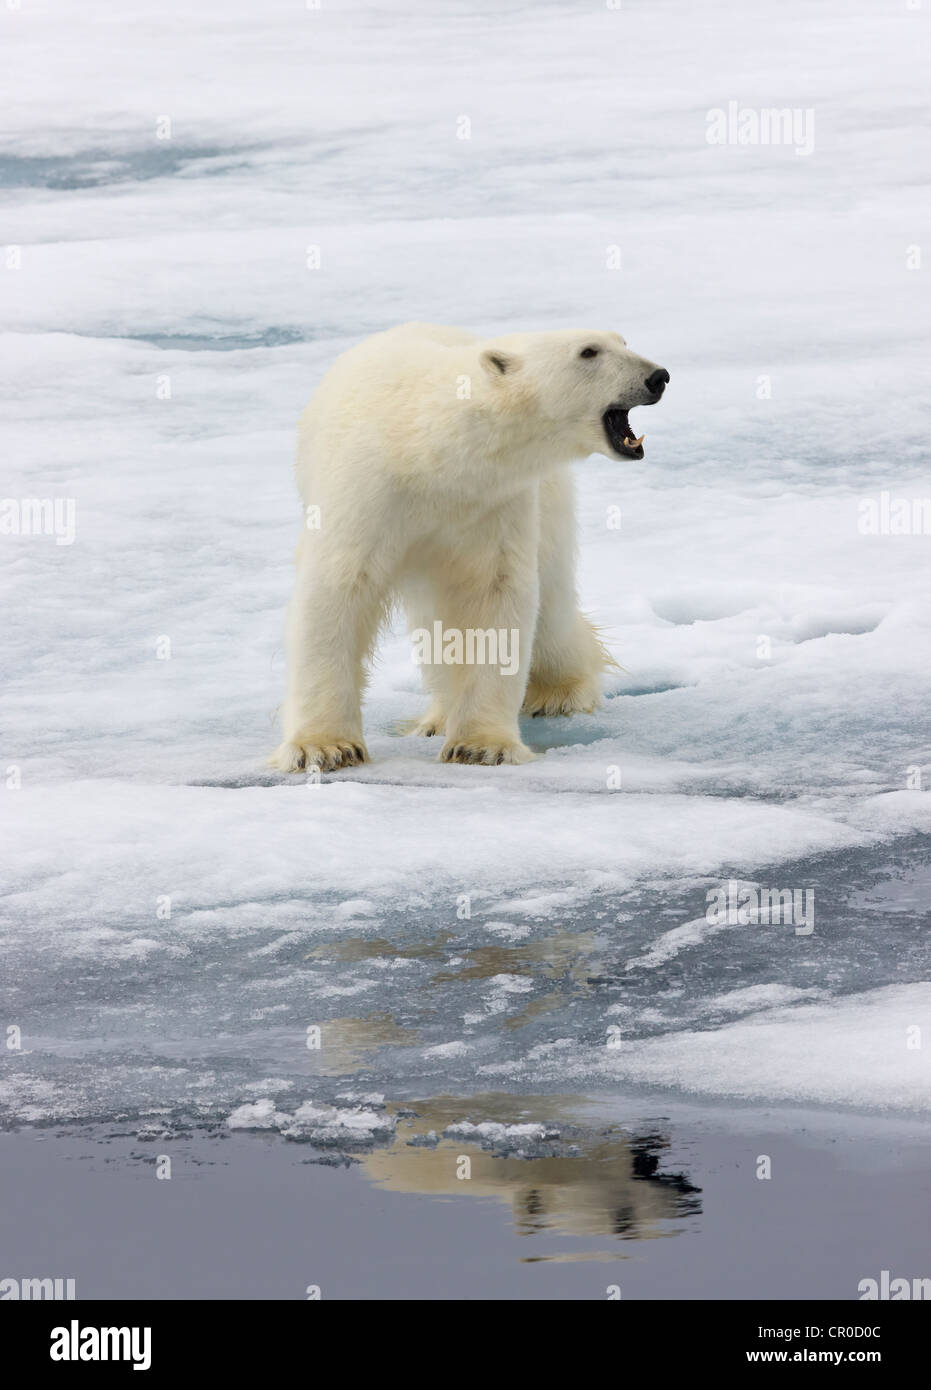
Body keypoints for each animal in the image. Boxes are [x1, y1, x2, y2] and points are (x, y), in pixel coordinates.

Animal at [272, 323, 672, 772]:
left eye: (622, 341)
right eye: (588, 352)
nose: (658, 376)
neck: (426, 450)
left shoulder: (495, 504)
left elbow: (494, 596)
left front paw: (481, 746)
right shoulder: (366, 491)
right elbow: (336, 589)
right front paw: (323, 748)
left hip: (550, 503)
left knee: (550, 609)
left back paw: (559, 693)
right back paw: (435, 719)